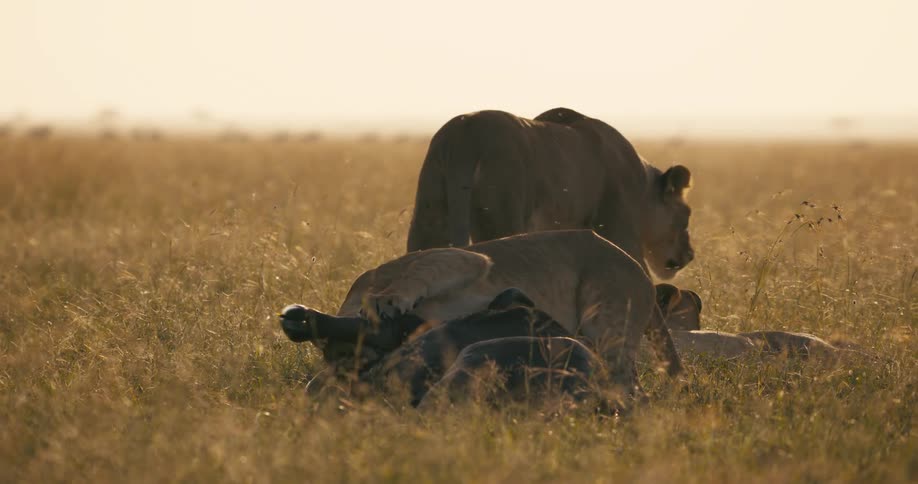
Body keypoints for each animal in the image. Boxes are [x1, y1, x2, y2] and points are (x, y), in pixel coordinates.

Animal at [281, 230, 683, 399]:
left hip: (610, 321)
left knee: (628, 383)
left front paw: (388, 302)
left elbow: (413, 279)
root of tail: (641, 272)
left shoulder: (462, 258)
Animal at [406, 107, 695, 280]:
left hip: (429, 214)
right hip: (501, 218)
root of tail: (466, 134)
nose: (690, 255)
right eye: (686, 215)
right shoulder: (620, 231)